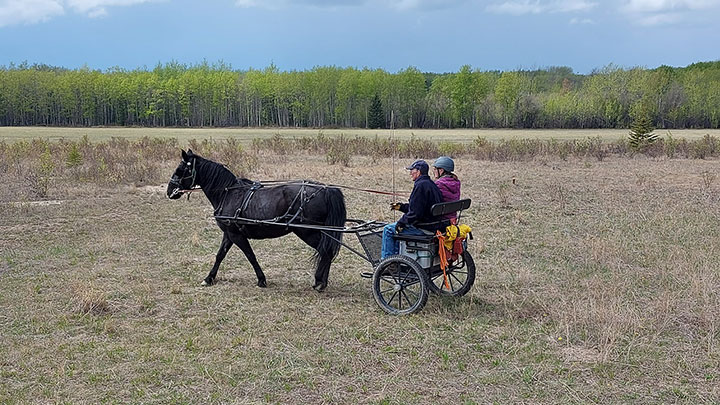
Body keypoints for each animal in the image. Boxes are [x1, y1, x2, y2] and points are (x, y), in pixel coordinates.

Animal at [169, 149, 348, 290]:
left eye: (180, 169)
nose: (169, 191)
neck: (228, 194)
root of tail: (326, 190)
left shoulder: (236, 235)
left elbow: (250, 255)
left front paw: (261, 280)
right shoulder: (229, 233)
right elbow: (220, 255)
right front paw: (209, 278)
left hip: (307, 231)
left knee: (325, 250)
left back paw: (319, 282)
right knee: (327, 250)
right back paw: (322, 281)